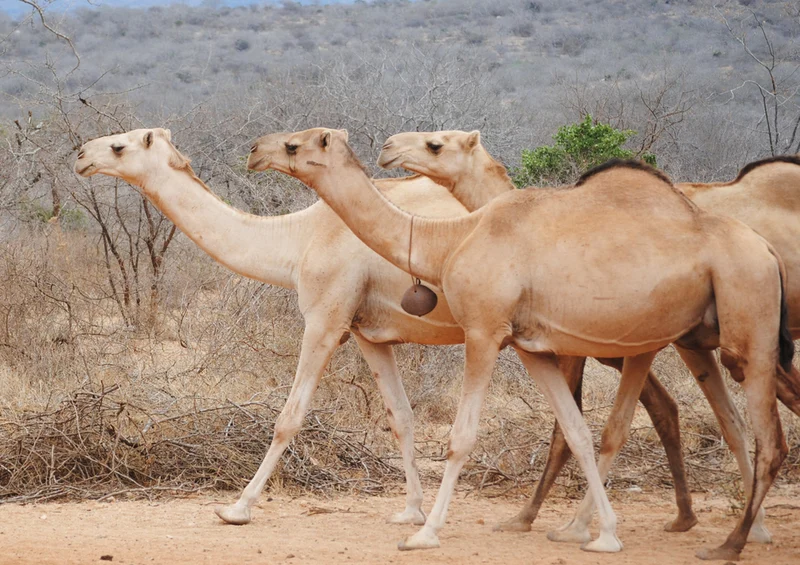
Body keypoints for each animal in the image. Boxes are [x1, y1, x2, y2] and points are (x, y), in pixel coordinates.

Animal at [73, 128, 477, 528]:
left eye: (118, 146)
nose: (80, 155)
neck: (299, 240)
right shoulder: (369, 332)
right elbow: (401, 417)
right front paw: (412, 510)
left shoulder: (325, 319)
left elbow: (289, 417)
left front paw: (238, 507)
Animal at [248, 127, 793, 560]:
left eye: (294, 144)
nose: (254, 150)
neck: (453, 238)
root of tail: (766, 249)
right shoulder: (531, 346)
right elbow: (575, 431)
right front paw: (602, 535)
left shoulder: (484, 331)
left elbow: (462, 437)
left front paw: (425, 532)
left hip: (749, 327)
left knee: (769, 437)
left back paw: (732, 542)